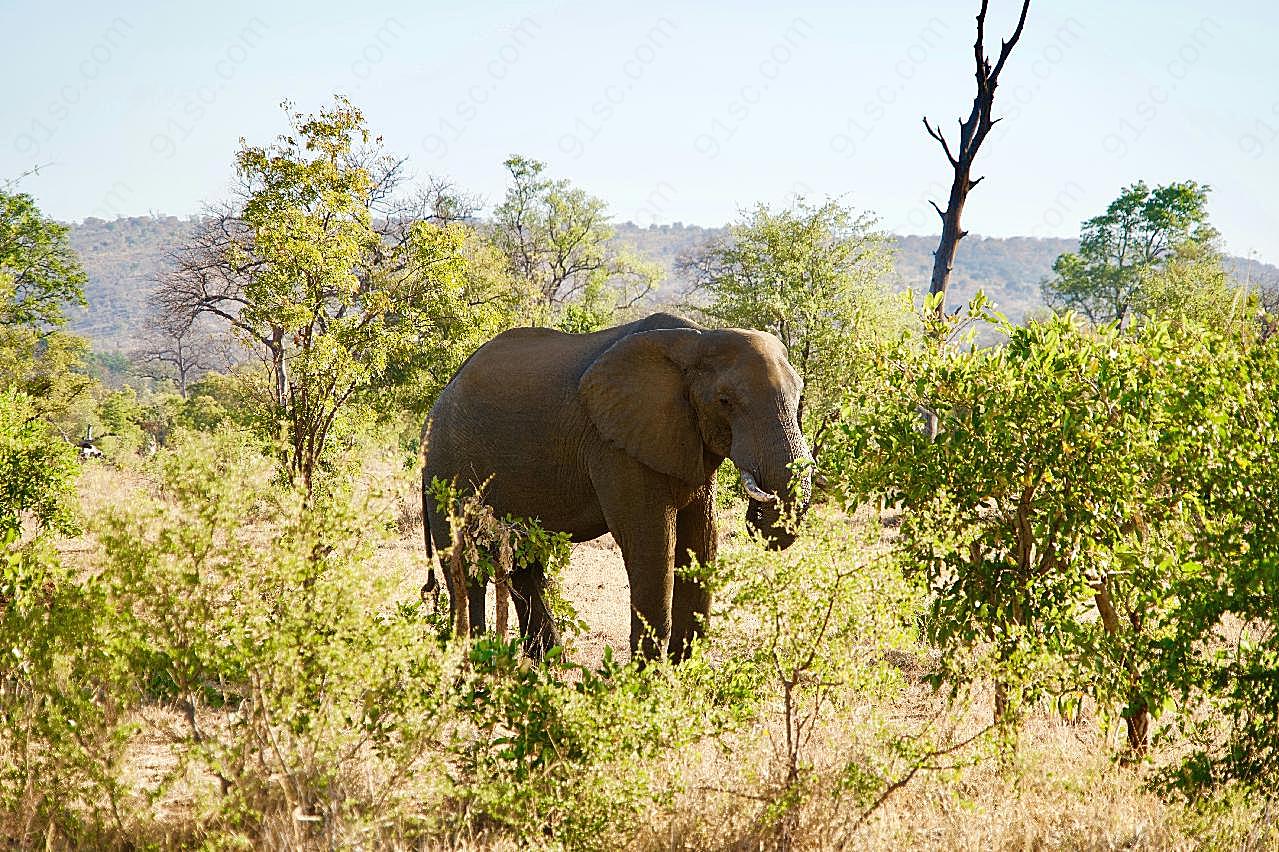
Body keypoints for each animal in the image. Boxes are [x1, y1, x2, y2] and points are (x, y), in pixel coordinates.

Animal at [424, 308, 813, 660]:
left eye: (799, 398)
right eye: (725, 401)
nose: (756, 514)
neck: (697, 339)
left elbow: (701, 540)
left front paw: (682, 673)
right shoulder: (615, 446)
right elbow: (650, 542)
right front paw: (647, 679)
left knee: (523, 563)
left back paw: (547, 664)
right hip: (446, 466)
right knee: (466, 569)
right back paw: (473, 667)